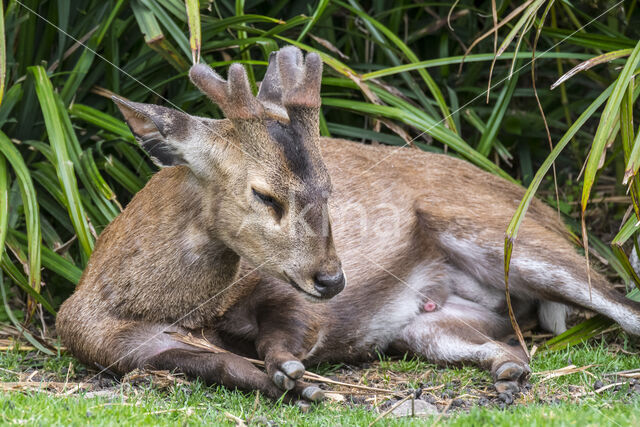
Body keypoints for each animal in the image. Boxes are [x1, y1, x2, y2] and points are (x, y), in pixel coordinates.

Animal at [56, 46, 640, 404]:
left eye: (330, 188)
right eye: (264, 194)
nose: (334, 279)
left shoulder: (285, 294)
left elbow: (287, 333)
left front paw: (296, 375)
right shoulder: (118, 346)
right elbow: (223, 367)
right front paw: (293, 384)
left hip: (507, 236)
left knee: (621, 304)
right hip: (424, 328)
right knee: (506, 346)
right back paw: (508, 375)